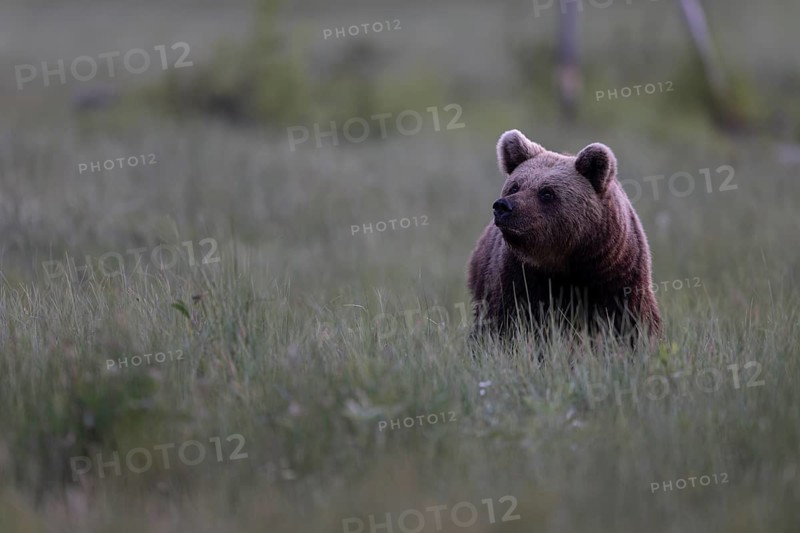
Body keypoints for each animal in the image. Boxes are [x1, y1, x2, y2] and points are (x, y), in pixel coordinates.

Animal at [466, 129, 661, 343]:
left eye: (546, 193)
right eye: (515, 186)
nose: (503, 206)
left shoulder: (618, 276)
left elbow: (632, 325)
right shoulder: (517, 277)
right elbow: (506, 322)